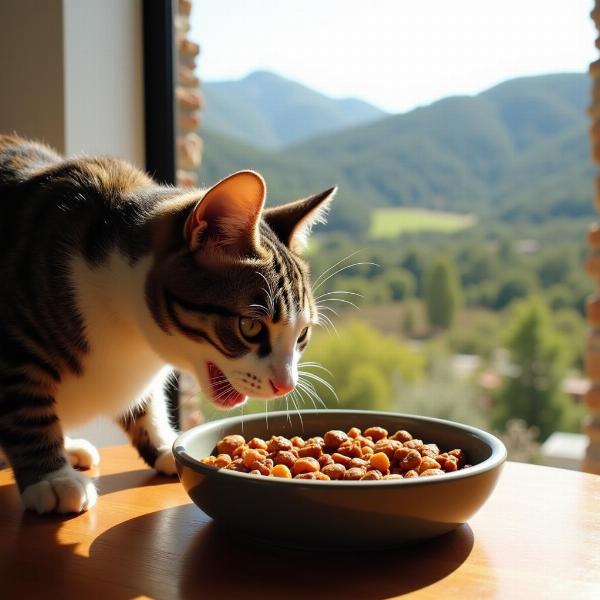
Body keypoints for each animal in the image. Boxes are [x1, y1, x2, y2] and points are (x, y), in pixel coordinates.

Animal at [0, 135, 338, 516]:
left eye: (303, 334)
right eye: (250, 326)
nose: (286, 385)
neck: (130, 336)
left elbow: (147, 405)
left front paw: (167, 445)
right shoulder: (15, 340)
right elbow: (26, 409)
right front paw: (51, 478)